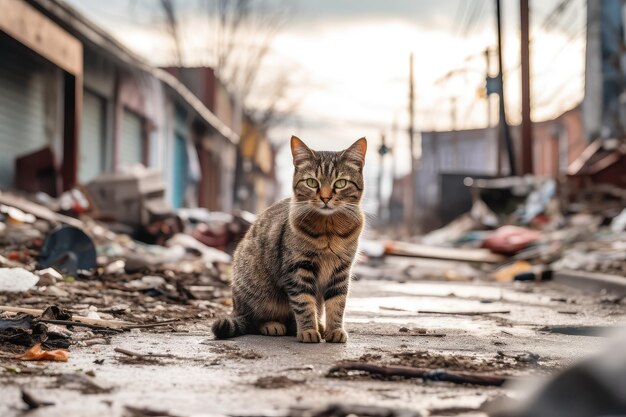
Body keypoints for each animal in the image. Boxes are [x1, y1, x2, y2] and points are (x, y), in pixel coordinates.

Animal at [211, 136, 366, 342]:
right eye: (311, 182)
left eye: (340, 183)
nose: (325, 198)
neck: (329, 230)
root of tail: (236, 308)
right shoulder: (298, 269)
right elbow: (303, 303)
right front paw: (308, 330)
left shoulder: (340, 271)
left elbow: (337, 303)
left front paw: (334, 330)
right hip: (257, 293)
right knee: (255, 320)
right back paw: (274, 325)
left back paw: (318, 326)